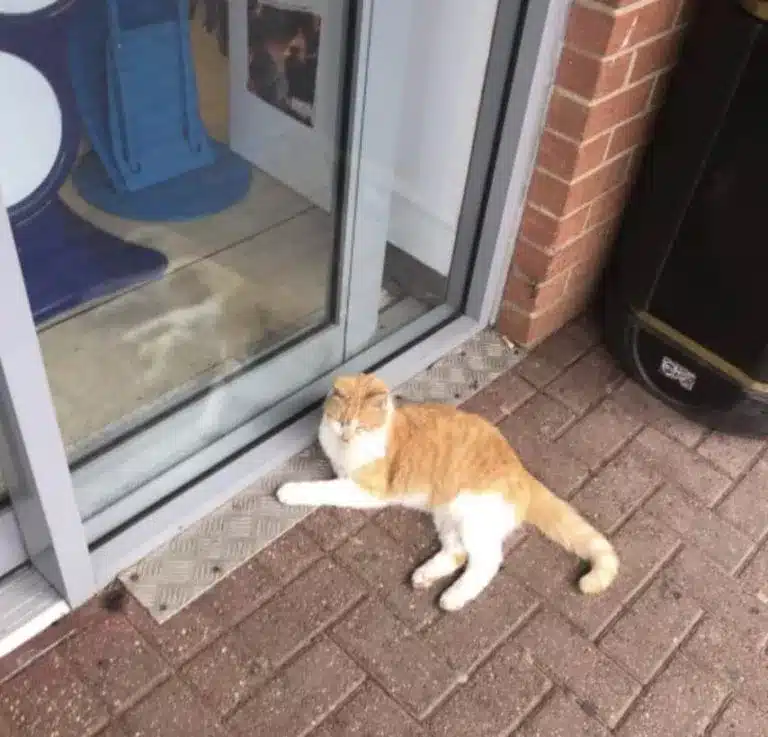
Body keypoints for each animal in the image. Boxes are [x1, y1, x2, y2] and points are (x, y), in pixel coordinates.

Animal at [276, 374, 616, 608]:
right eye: (340, 421)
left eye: (360, 427)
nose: (346, 436)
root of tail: (521, 471)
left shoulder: (367, 490)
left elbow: (323, 488)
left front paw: (289, 491)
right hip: (447, 514)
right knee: (457, 551)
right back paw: (425, 576)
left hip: (471, 515)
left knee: (486, 561)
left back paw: (453, 598)